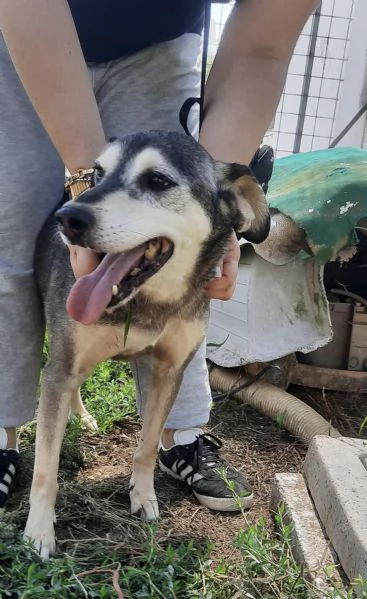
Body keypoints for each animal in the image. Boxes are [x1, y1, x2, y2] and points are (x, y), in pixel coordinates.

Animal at [23, 131, 270, 556]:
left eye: (157, 181)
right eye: (98, 174)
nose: (68, 219)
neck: (148, 302)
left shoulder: (171, 369)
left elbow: (150, 444)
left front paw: (143, 496)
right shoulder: (64, 362)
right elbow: (45, 467)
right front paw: (39, 531)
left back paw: (82, 416)